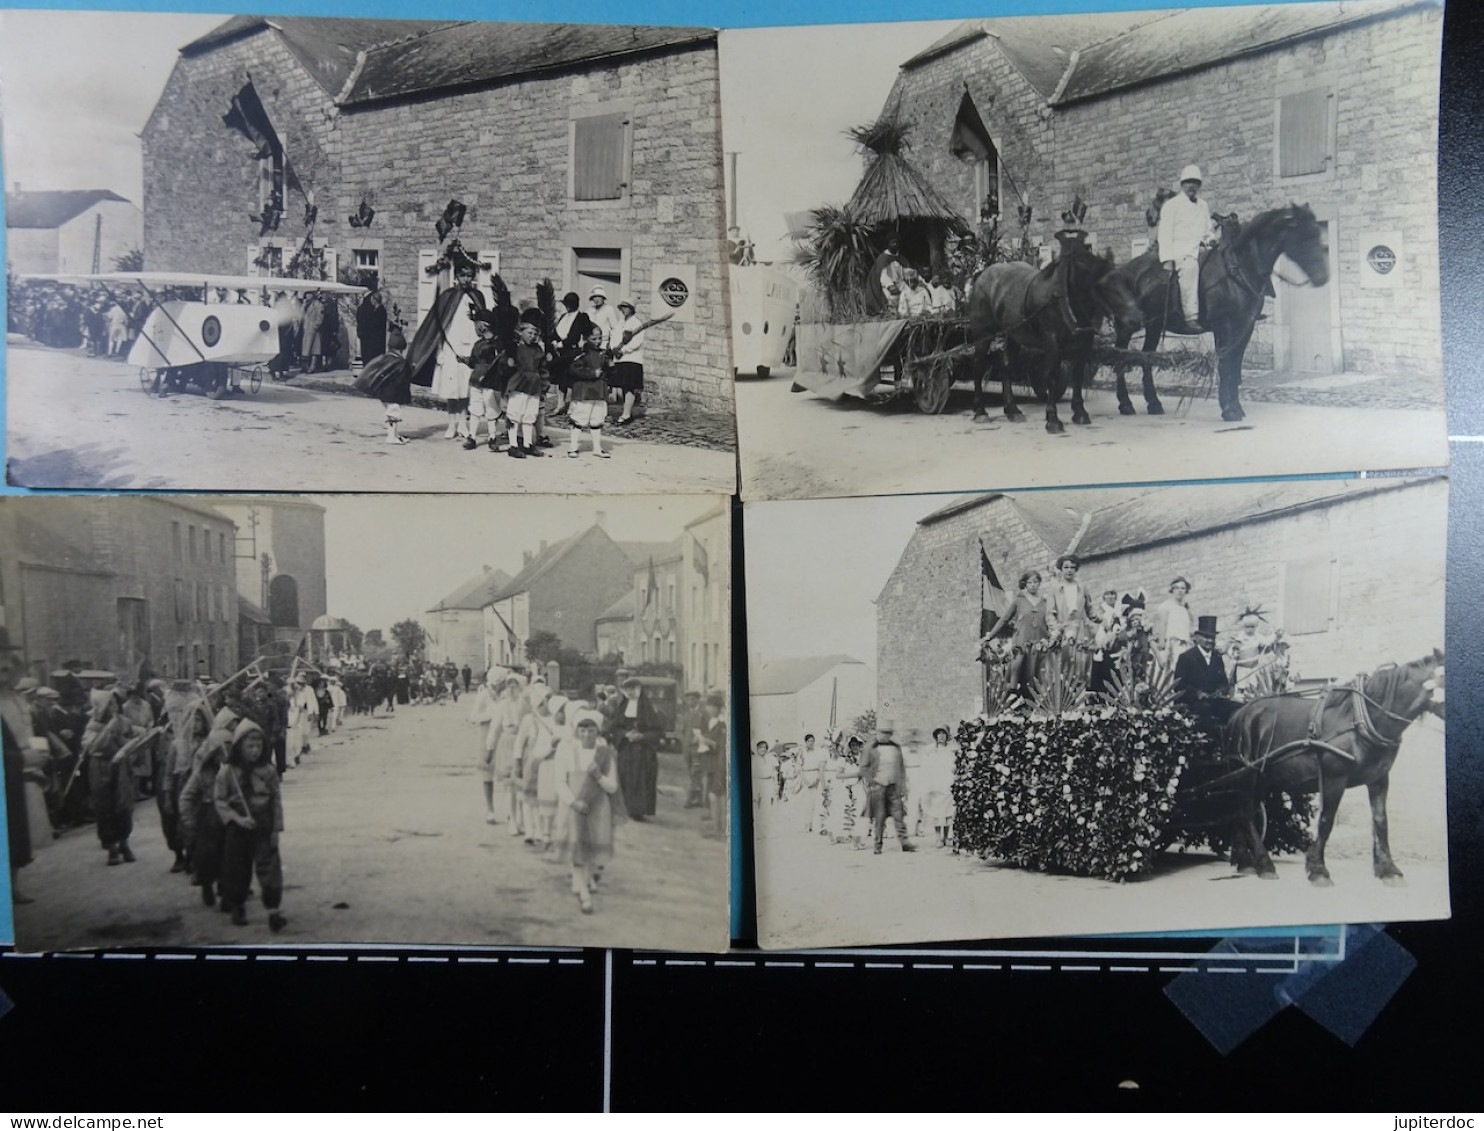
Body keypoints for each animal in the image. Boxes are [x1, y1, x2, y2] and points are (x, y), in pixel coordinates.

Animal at [967, 237, 1139, 430]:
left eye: (1126, 282)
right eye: (1104, 285)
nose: (1136, 319)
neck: (1064, 299)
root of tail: (982, 276)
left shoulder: (1084, 344)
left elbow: (1077, 376)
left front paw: (1080, 413)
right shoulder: (1052, 341)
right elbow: (1051, 376)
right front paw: (1052, 418)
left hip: (1014, 334)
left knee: (1006, 365)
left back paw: (1012, 409)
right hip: (983, 333)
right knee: (978, 364)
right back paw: (980, 411)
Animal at [1110, 201, 1329, 418]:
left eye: (1317, 234)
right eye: (1303, 236)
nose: (1322, 278)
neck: (1238, 268)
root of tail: (1124, 270)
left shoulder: (1245, 327)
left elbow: (1235, 362)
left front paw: (1234, 406)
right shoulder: (1224, 326)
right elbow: (1226, 364)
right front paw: (1229, 409)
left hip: (1154, 325)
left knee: (1146, 357)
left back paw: (1154, 403)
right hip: (1127, 327)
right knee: (1120, 357)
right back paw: (1125, 404)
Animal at [1222, 653, 1442, 878]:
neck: (1361, 719)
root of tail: (1238, 713)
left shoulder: (1379, 779)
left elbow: (1380, 820)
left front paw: (1388, 869)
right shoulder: (1334, 778)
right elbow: (1326, 820)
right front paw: (1318, 869)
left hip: (1262, 779)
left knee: (1243, 813)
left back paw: (1246, 862)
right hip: (1247, 775)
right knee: (1246, 815)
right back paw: (1264, 864)